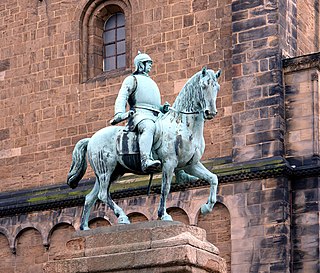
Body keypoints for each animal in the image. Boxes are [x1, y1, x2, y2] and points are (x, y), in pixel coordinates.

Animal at [67, 67, 222, 228]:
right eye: (203, 86)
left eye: (217, 87)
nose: (210, 112)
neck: (182, 126)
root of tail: (91, 139)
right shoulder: (169, 163)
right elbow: (165, 188)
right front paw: (164, 214)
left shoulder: (191, 164)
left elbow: (213, 178)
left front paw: (207, 207)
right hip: (105, 170)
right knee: (103, 195)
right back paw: (122, 217)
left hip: (110, 173)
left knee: (90, 197)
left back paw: (85, 227)